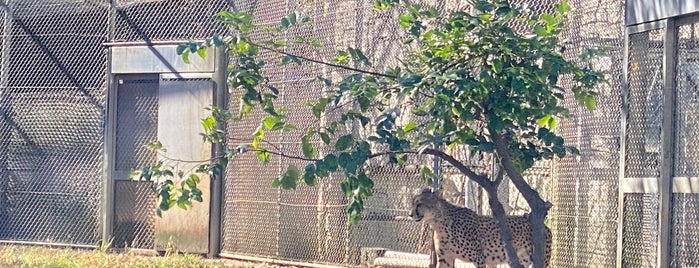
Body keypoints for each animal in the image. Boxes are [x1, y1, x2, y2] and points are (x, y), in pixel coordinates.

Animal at [410, 188, 552, 268]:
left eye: (419, 204)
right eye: (412, 204)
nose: (410, 215)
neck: (439, 223)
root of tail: (545, 226)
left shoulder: (479, 259)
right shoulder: (446, 258)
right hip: (521, 260)